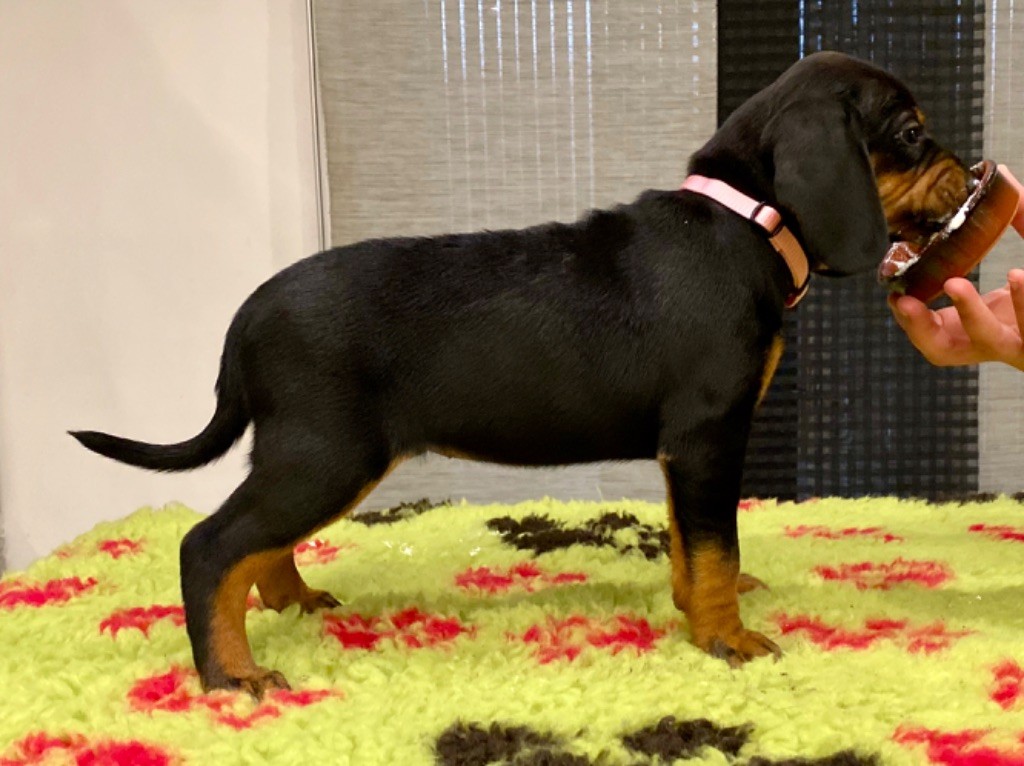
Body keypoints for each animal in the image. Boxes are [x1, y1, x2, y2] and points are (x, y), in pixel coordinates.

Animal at [72, 51, 972, 696]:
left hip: (318, 457)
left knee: (256, 543)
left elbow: (690, 544)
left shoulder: (683, 450)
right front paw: (726, 638)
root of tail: (249, 314)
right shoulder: (709, 434)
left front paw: (691, 611)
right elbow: (715, 543)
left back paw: (290, 605)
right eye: (912, 133)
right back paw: (233, 674)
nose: (971, 175)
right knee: (210, 545)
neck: (744, 221)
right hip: (326, 453)